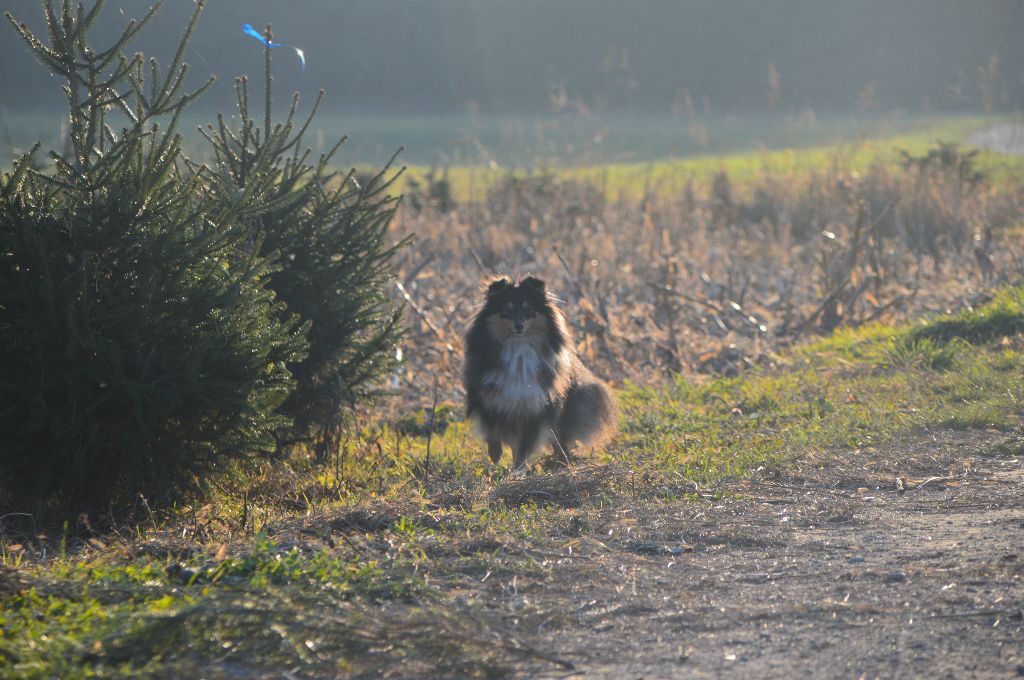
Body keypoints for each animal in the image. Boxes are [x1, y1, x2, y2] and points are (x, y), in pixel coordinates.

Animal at [462, 274, 614, 471]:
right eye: (506, 310)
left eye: (529, 311)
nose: (519, 326)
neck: (518, 347)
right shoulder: (488, 396)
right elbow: (492, 429)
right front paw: (496, 455)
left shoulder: (538, 404)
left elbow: (526, 443)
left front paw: (518, 469)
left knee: (558, 436)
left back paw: (563, 459)